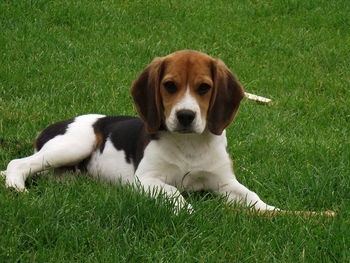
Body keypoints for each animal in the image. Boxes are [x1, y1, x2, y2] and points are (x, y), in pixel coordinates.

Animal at [1, 51, 278, 214]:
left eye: (204, 88)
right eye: (169, 86)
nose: (185, 116)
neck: (189, 144)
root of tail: (48, 129)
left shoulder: (224, 182)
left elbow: (251, 196)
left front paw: (273, 212)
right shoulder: (146, 179)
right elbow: (174, 192)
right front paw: (187, 212)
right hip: (74, 144)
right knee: (18, 163)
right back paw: (17, 188)